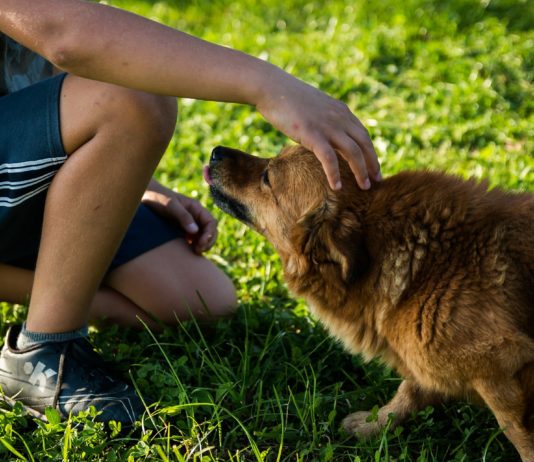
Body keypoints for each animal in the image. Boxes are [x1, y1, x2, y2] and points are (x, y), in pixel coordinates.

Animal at [206, 145, 534, 462]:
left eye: (267, 177)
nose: (216, 151)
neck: (427, 265)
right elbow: (409, 390)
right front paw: (374, 424)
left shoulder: (499, 367)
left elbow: (517, 432)